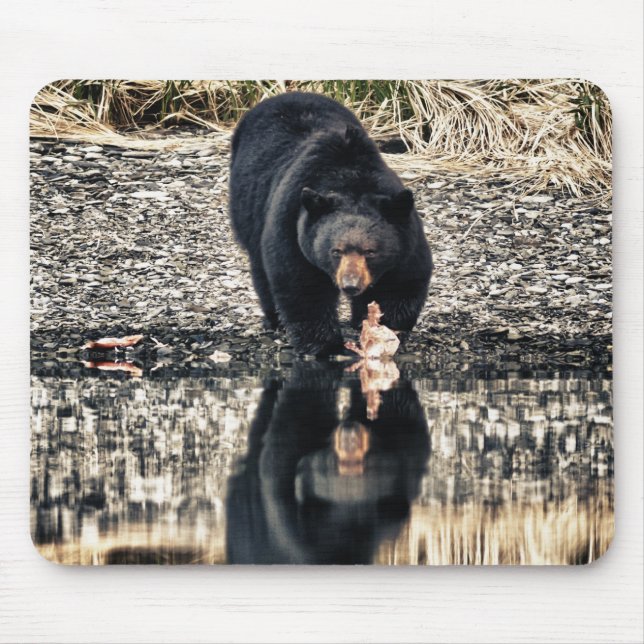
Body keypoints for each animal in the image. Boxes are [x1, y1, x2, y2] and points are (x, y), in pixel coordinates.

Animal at [229, 91, 433, 356]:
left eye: (370, 251)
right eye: (336, 251)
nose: (350, 285)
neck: (350, 177)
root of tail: (288, 94)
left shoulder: (405, 234)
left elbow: (401, 282)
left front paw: (384, 332)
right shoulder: (293, 223)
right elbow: (302, 287)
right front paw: (328, 346)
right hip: (248, 208)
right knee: (260, 264)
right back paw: (274, 319)